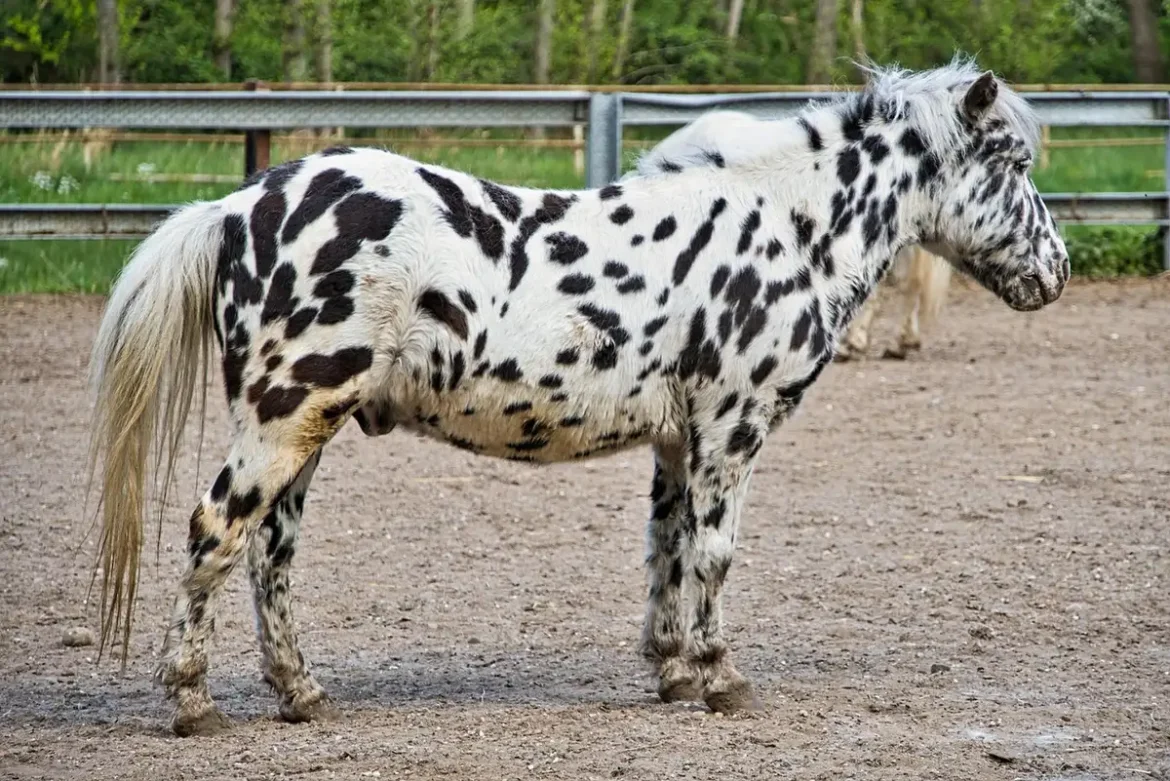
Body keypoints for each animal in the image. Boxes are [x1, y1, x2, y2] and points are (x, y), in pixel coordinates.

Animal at [85, 57, 1068, 735]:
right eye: (1016, 162)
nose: (1056, 271)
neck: (788, 229)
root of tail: (241, 203)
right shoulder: (733, 431)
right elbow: (716, 555)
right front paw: (721, 677)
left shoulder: (679, 443)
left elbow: (668, 550)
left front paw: (673, 670)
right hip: (282, 419)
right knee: (216, 533)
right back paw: (192, 700)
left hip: (304, 432)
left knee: (271, 555)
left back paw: (302, 692)